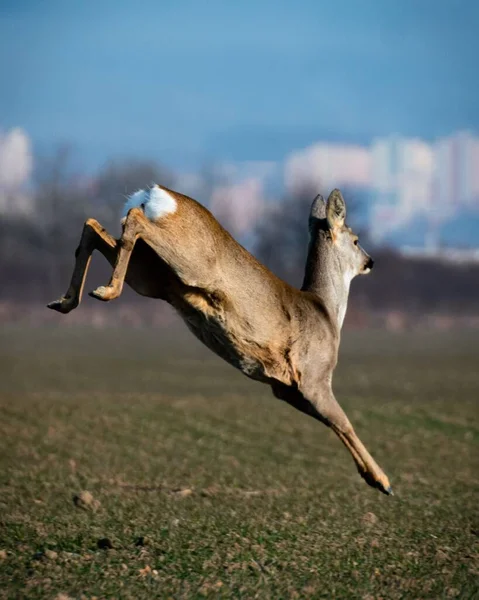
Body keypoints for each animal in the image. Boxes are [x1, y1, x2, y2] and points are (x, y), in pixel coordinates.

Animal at [47, 185, 394, 494]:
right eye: (356, 239)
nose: (371, 261)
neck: (326, 313)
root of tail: (156, 193)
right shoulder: (313, 378)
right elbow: (344, 422)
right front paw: (383, 481)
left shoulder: (286, 390)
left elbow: (333, 423)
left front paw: (373, 478)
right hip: (188, 263)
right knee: (132, 219)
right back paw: (104, 291)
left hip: (151, 275)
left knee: (96, 226)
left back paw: (66, 301)